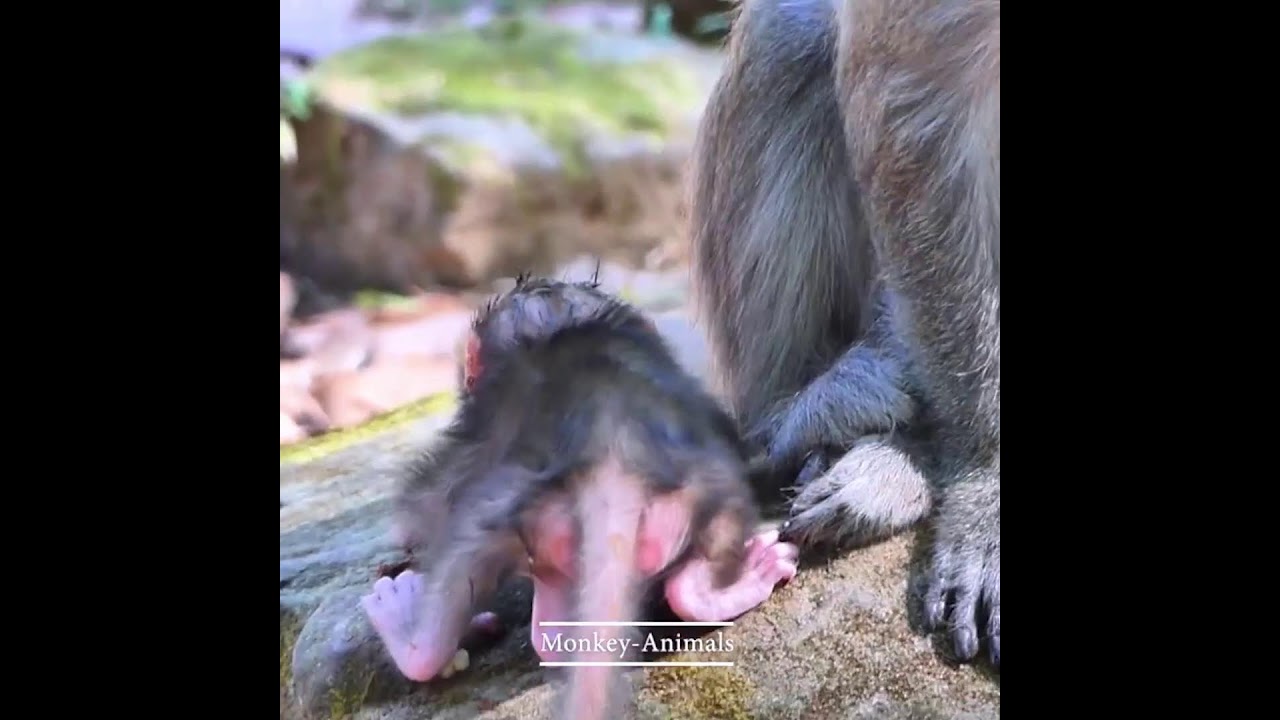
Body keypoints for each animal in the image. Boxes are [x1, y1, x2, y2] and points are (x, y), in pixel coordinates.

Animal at [361, 275, 798, 718]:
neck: (556, 326)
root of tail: (613, 457)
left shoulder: (468, 436)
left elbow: (420, 509)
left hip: (494, 515)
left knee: (454, 574)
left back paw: (403, 617)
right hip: (711, 491)